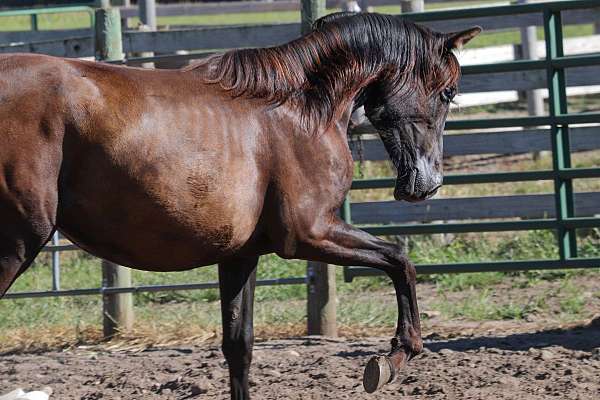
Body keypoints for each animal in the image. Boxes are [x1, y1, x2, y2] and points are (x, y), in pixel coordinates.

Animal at [0, 12, 478, 400]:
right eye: (448, 92)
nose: (428, 184)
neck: (301, 108)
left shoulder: (240, 255)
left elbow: (239, 347)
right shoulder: (309, 234)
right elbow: (400, 259)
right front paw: (395, 358)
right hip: (18, 244)